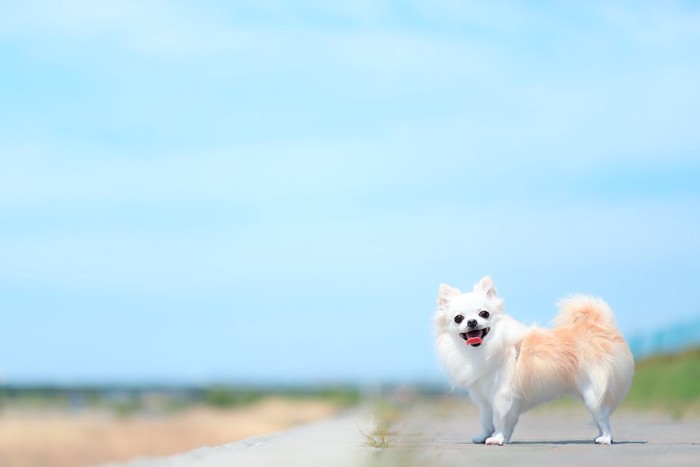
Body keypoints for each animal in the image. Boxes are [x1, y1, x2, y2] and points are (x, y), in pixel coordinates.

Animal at [432, 278, 636, 446]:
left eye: (484, 314)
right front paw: (484, 436)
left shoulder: (502, 395)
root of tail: (599, 328)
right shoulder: (484, 399)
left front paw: (498, 439)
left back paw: (606, 438)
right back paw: (599, 436)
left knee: (603, 416)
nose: (472, 322)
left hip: (592, 392)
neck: (482, 349)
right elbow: (486, 420)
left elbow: (499, 420)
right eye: (458, 318)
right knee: (600, 416)